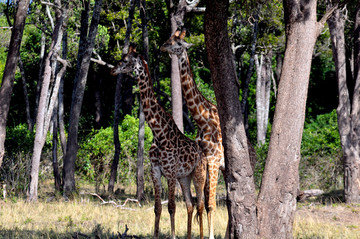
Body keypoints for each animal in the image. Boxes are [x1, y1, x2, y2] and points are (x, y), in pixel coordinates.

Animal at [109, 45, 205, 239]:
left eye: (126, 60)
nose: (112, 70)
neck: (159, 133)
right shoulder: (156, 171)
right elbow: (157, 208)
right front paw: (156, 234)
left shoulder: (170, 172)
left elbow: (172, 207)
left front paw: (173, 235)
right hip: (185, 177)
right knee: (190, 205)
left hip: (198, 174)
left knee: (200, 206)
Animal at [160, 28, 256, 239]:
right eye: (169, 38)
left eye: (177, 43)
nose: (162, 46)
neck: (202, 119)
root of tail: (254, 151)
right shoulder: (204, 161)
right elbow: (201, 202)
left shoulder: (212, 160)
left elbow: (210, 204)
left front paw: (210, 236)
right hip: (225, 170)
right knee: (229, 201)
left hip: (238, 168)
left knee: (235, 199)